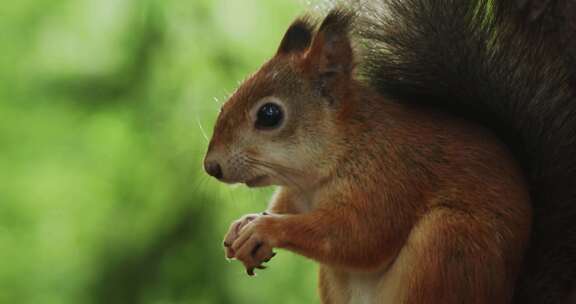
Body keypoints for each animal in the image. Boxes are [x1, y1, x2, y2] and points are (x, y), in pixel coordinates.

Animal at [201, 0, 576, 304]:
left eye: (269, 114)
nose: (211, 167)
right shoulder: (297, 192)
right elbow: (284, 204)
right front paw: (243, 227)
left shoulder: (387, 179)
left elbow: (358, 237)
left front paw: (265, 229)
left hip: (449, 242)